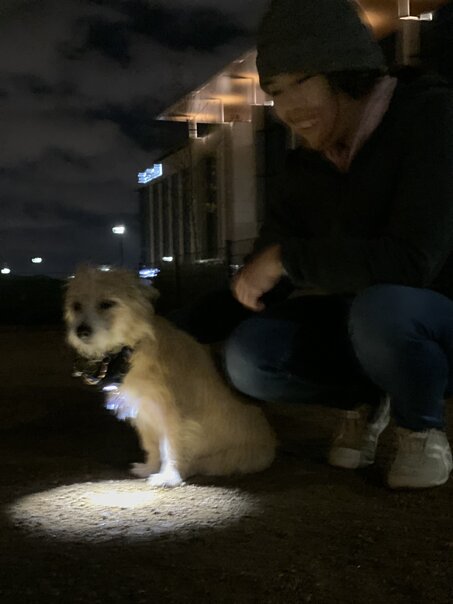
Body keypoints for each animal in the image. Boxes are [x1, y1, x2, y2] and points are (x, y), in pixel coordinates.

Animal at [64, 266, 276, 487]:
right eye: (76, 306)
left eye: (106, 304)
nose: (81, 331)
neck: (130, 350)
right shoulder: (143, 413)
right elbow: (152, 445)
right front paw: (149, 467)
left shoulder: (174, 417)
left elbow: (171, 447)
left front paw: (169, 476)